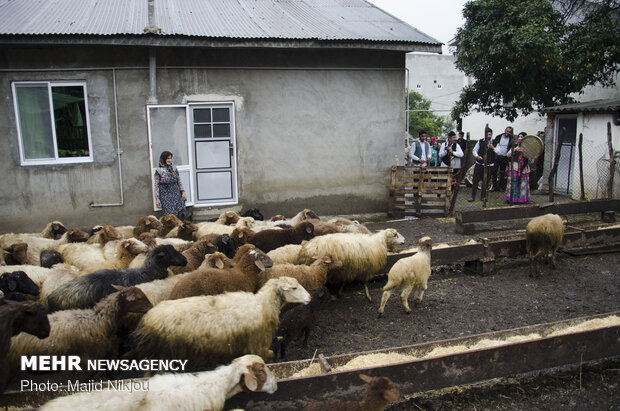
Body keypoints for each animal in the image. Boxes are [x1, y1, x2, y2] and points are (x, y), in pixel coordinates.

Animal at [127, 276, 310, 370]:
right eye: (294, 288)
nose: (309, 297)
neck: (263, 304)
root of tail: (146, 319)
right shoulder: (256, 344)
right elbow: (268, 355)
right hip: (161, 353)